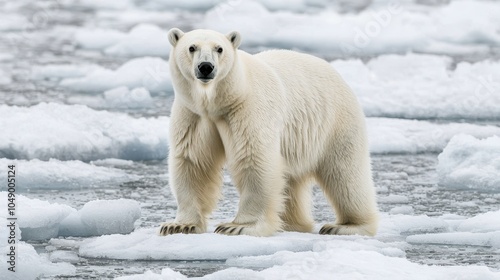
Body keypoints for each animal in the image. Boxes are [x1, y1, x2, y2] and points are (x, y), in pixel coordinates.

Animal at [161, 28, 378, 237]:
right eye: (192, 47)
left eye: (219, 48)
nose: (206, 67)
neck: (221, 100)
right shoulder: (193, 114)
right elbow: (192, 160)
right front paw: (179, 225)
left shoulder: (247, 109)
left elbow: (254, 158)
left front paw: (238, 227)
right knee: (291, 181)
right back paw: (293, 224)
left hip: (336, 123)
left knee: (344, 173)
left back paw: (345, 226)